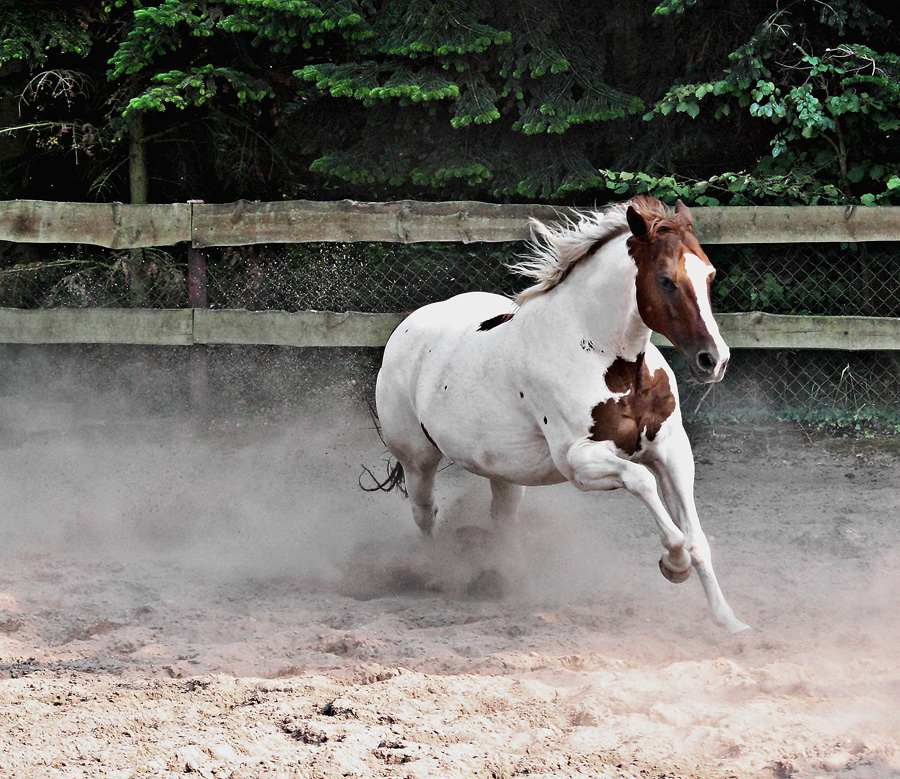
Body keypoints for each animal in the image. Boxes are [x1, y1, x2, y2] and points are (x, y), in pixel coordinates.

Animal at [370, 195, 748, 632]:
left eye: (710, 275)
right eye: (666, 280)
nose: (714, 360)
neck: (604, 358)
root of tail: (406, 329)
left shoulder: (672, 450)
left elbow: (697, 537)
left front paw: (728, 620)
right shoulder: (578, 462)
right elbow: (644, 484)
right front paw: (674, 564)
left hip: (504, 471)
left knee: (501, 518)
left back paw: (509, 580)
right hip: (418, 461)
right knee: (425, 515)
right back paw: (437, 574)